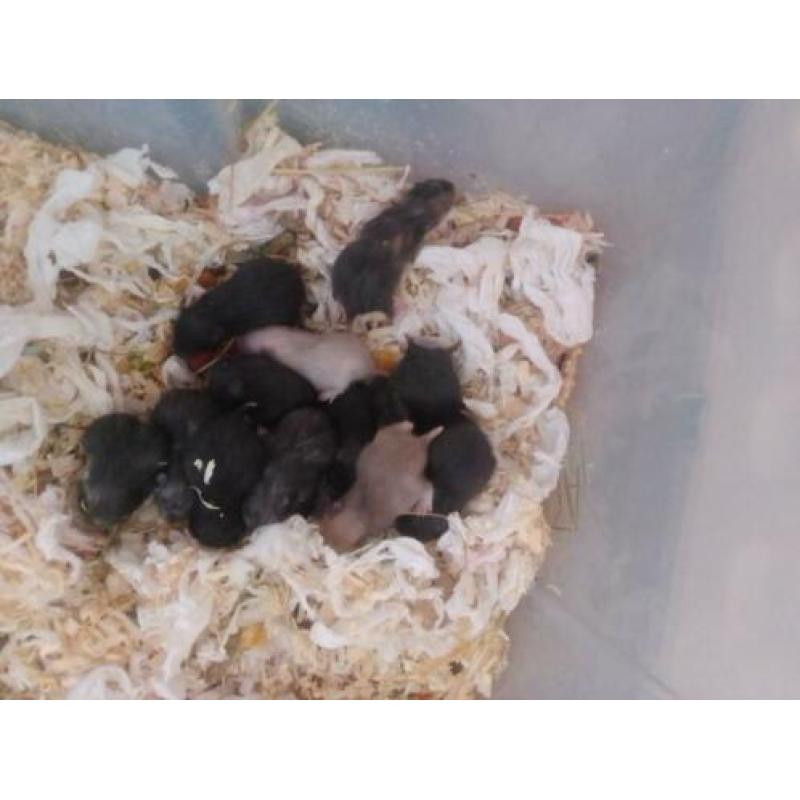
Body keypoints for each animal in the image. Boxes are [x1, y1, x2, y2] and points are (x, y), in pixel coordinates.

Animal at [237, 326, 376, 401]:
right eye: (255, 329)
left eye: (260, 350)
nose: (238, 343)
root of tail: (368, 364)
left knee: (341, 387)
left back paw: (326, 395)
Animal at [332, 179, 456, 319]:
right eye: (447, 203)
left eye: (432, 181)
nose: (452, 185)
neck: (415, 207)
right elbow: (442, 240)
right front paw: (450, 231)